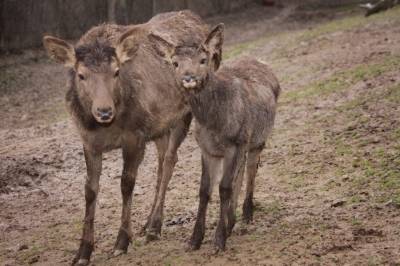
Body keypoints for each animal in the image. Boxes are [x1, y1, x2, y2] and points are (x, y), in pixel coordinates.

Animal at [43, 10, 220, 266]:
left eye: (117, 72)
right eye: (81, 75)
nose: (104, 111)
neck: (104, 128)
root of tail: (196, 18)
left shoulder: (134, 136)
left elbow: (126, 184)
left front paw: (121, 242)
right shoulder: (88, 142)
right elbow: (90, 190)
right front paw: (83, 251)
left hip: (183, 114)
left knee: (170, 160)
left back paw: (155, 226)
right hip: (159, 125)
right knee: (162, 160)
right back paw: (147, 223)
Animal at [148, 23, 280, 252]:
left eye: (203, 59)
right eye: (175, 63)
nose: (188, 77)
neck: (215, 122)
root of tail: (264, 64)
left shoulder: (234, 144)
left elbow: (224, 188)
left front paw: (219, 241)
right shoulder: (208, 150)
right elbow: (205, 191)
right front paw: (195, 240)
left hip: (258, 139)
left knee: (251, 169)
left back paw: (247, 214)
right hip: (244, 145)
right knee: (240, 173)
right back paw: (231, 221)